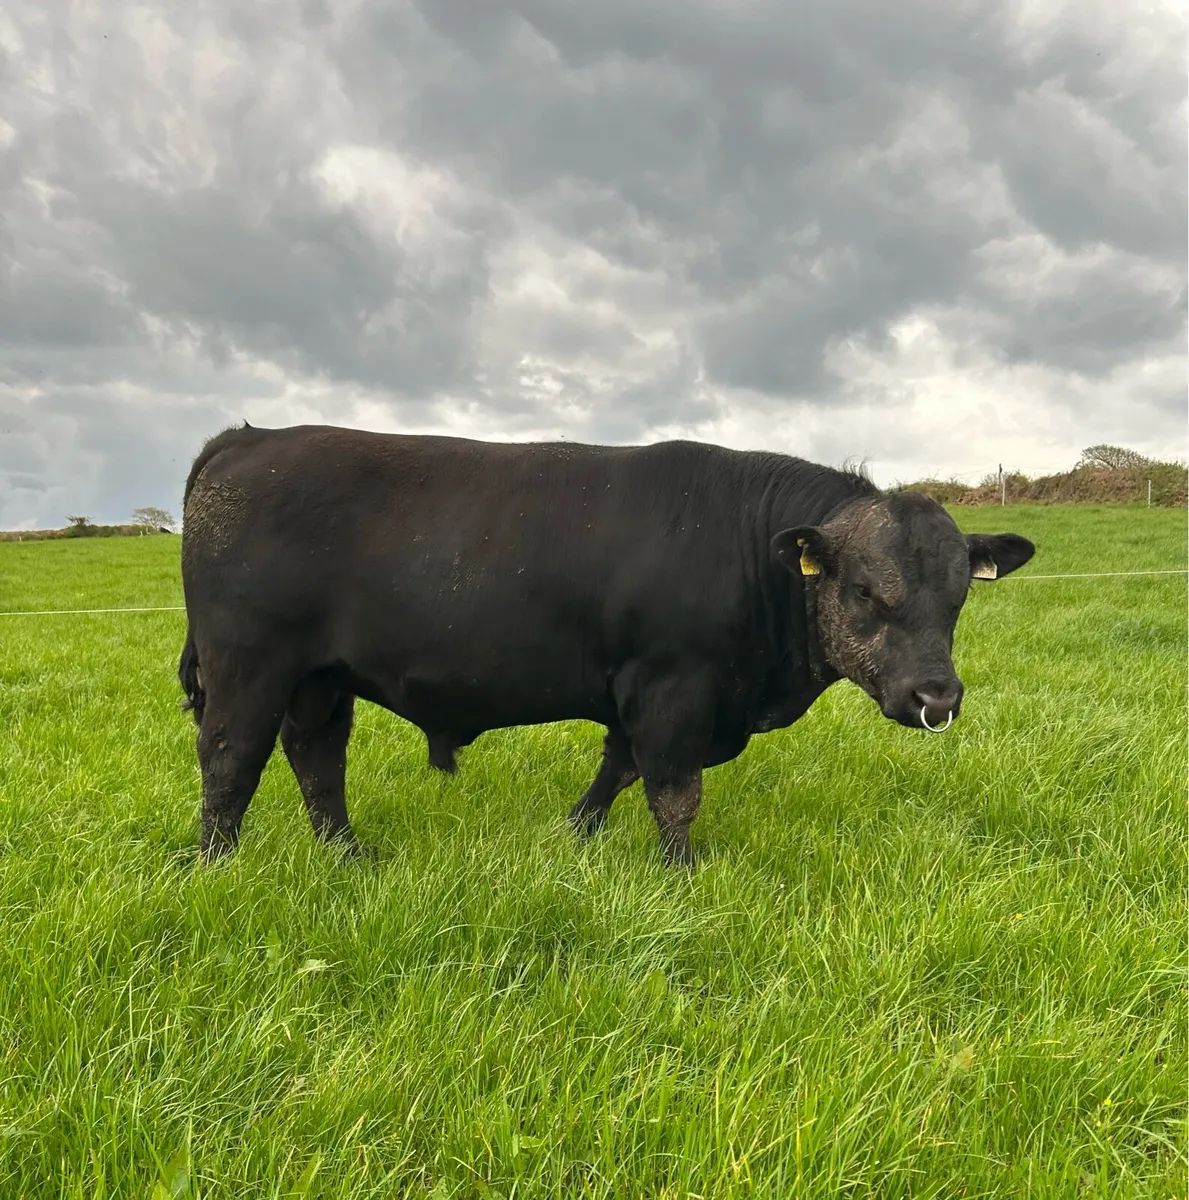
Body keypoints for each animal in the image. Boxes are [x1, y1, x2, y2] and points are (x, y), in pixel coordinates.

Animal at [177, 423, 1035, 867]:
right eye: (862, 589)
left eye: (958, 594)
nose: (935, 696)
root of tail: (250, 438)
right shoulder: (672, 686)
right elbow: (672, 790)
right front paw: (681, 871)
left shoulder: (639, 691)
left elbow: (617, 770)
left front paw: (576, 834)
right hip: (249, 664)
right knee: (230, 759)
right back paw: (219, 865)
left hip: (319, 678)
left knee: (317, 760)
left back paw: (347, 856)